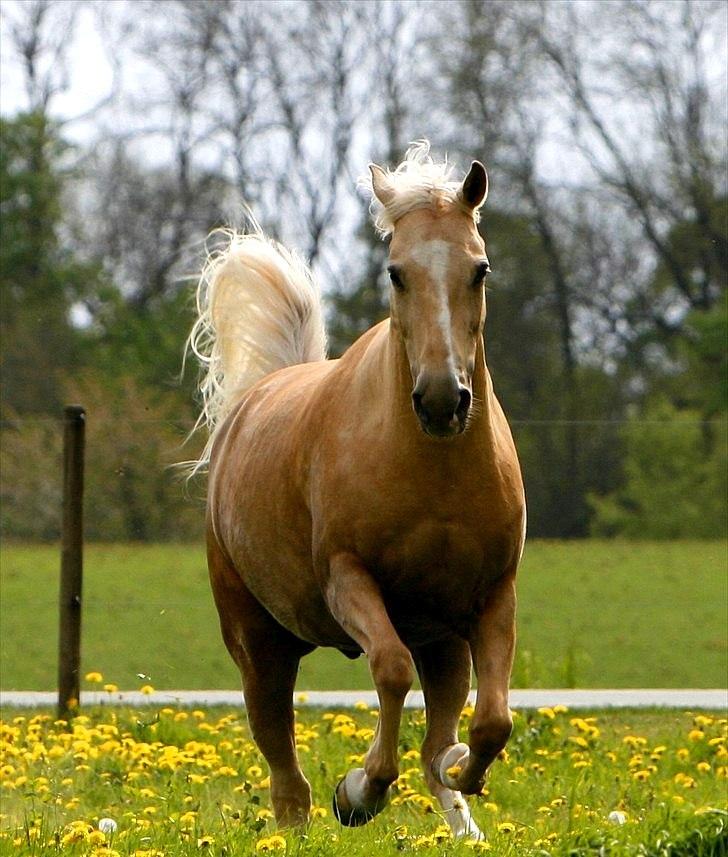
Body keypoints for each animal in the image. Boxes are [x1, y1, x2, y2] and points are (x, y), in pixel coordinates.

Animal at [189, 140, 524, 836]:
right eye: (396, 272)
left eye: (479, 268)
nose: (443, 399)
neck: (433, 469)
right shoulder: (348, 580)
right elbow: (390, 671)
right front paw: (360, 790)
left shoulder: (491, 597)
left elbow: (491, 721)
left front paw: (461, 775)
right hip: (258, 644)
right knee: (283, 768)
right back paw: (306, 818)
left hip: (443, 644)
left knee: (443, 724)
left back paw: (461, 819)